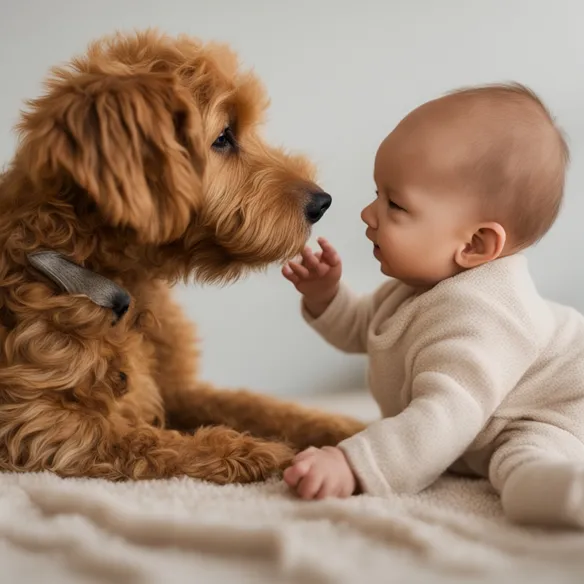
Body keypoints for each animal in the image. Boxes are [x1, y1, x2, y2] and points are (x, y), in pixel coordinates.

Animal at [0, 28, 364, 484]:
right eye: (223, 136)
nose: (322, 203)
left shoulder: (178, 389)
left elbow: (254, 405)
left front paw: (342, 428)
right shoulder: (33, 423)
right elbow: (145, 440)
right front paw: (253, 451)